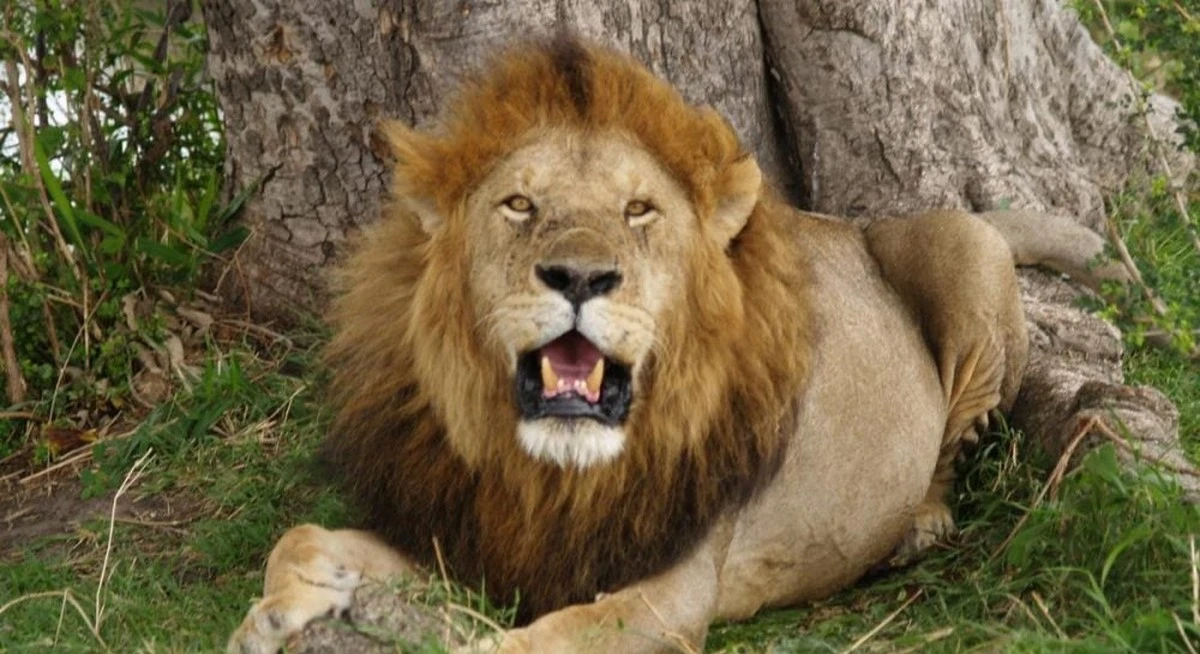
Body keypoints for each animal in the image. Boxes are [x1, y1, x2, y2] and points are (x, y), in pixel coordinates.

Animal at [228, 37, 1120, 654]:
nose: (580, 277)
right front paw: (274, 612)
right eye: (519, 205)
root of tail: (865, 225)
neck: (552, 476)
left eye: (639, 211)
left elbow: (530, 643)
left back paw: (915, 526)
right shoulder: (468, 540)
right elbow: (299, 534)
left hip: (963, 252)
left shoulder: (668, 598)